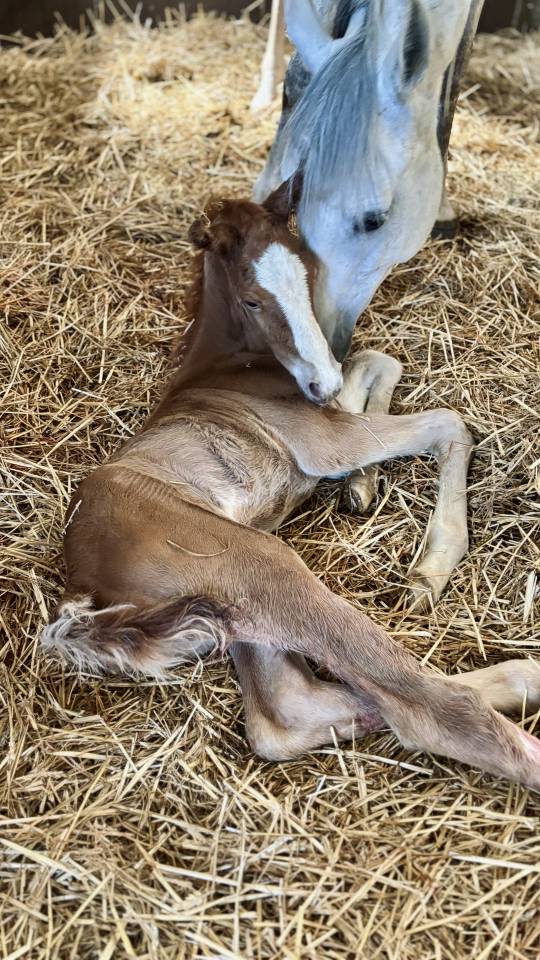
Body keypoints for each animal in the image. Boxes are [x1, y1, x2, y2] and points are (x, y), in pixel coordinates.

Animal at [42, 186, 540, 789]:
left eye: (307, 274)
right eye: (253, 301)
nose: (321, 380)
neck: (229, 365)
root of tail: (79, 589)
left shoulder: (329, 416)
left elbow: (376, 362)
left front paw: (361, 487)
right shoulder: (322, 440)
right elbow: (446, 421)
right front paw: (431, 567)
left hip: (238, 614)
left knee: (288, 713)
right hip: (256, 563)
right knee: (423, 708)